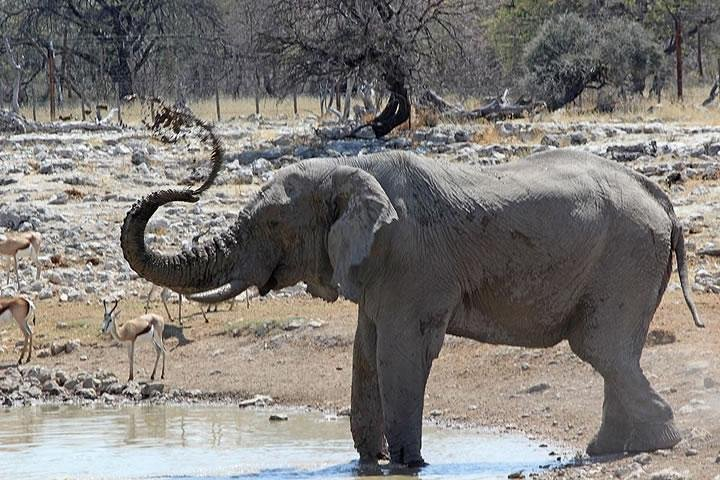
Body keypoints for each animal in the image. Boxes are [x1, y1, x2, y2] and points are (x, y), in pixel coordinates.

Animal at [119, 149, 704, 464]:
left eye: (272, 223)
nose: (192, 189)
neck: (349, 169)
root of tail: (663, 201)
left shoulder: (411, 261)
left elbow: (399, 353)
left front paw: (408, 463)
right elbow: (365, 351)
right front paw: (368, 461)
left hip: (626, 255)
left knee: (601, 348)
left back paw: (655, 440)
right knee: (614, 354)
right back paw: (611, 448)